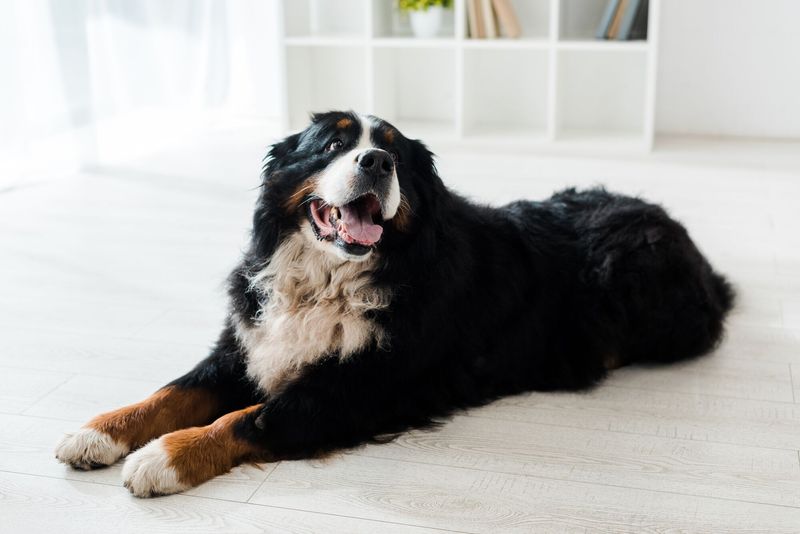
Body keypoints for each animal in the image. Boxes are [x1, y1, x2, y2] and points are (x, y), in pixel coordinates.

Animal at [53, 111, 736, 500]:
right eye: (331, 145)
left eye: (397, 155)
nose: (376, 161)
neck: (329, 277)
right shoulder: (247, 344)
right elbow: (170, 393)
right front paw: (98, 431)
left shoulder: (359, 389)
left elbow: (247, 418)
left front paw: (162, 458)